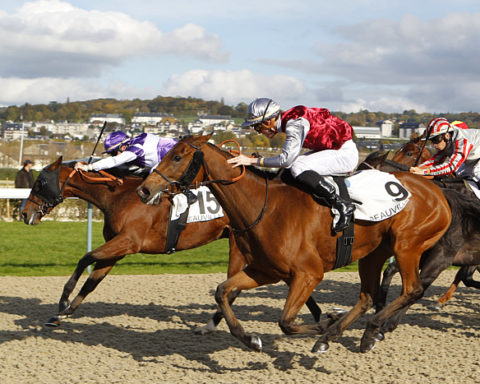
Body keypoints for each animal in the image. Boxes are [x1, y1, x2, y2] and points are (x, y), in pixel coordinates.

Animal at [136, 134, 454, 354]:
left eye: (178, 157)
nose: (144, 189)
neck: (264, 208)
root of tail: (437, 191)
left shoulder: (309, 273)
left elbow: (286, 321)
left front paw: (325, 322)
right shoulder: (263, 271)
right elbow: (223, 292)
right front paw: (250, 339)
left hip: (407, 245)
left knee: (412, 289)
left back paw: (367, 328)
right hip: (374, 252)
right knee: (367, 296)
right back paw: (343, 336)